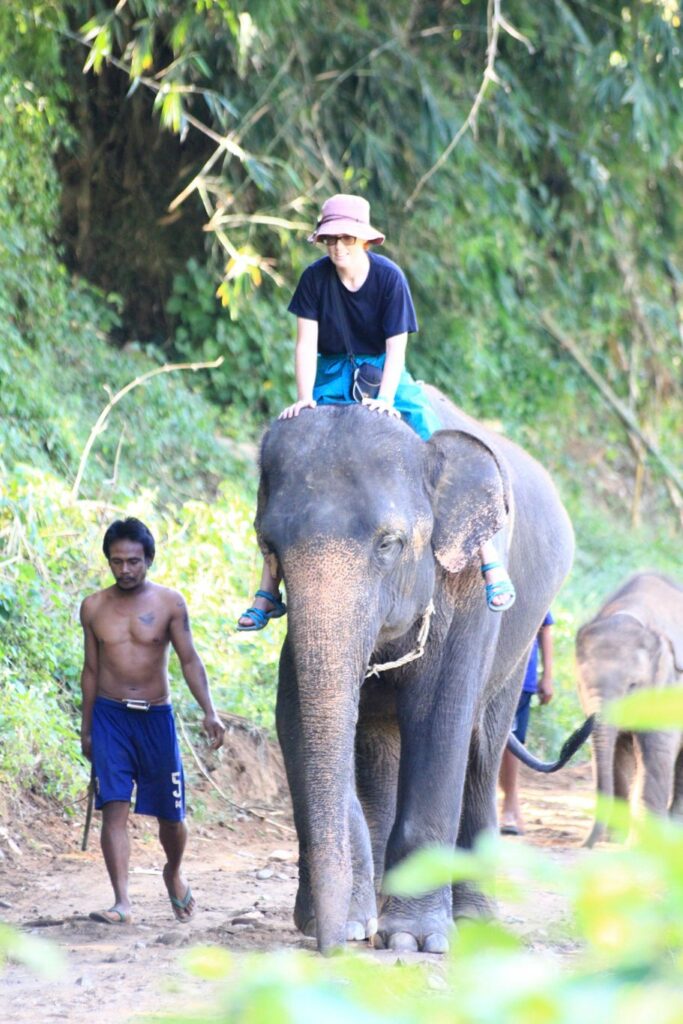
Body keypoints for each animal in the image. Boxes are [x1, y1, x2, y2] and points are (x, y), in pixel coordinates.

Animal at [256, 386, 575, 954]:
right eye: (269, 548)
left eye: (389, 543)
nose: (328, 948)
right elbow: (293, 717)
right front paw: (347, 922)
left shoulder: (469, 591)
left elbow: (440, 720)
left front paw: (414, 939)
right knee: (378, 747)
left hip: (519, 646)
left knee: (480, 752)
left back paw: (472, 918)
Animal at [576, 572, 683, 848]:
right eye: (581, 685)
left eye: (632, 686)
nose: (583, 845)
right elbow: (616, 750)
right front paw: (616, 840)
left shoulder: (669, 686)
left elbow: (656, 750)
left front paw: (642, 845)